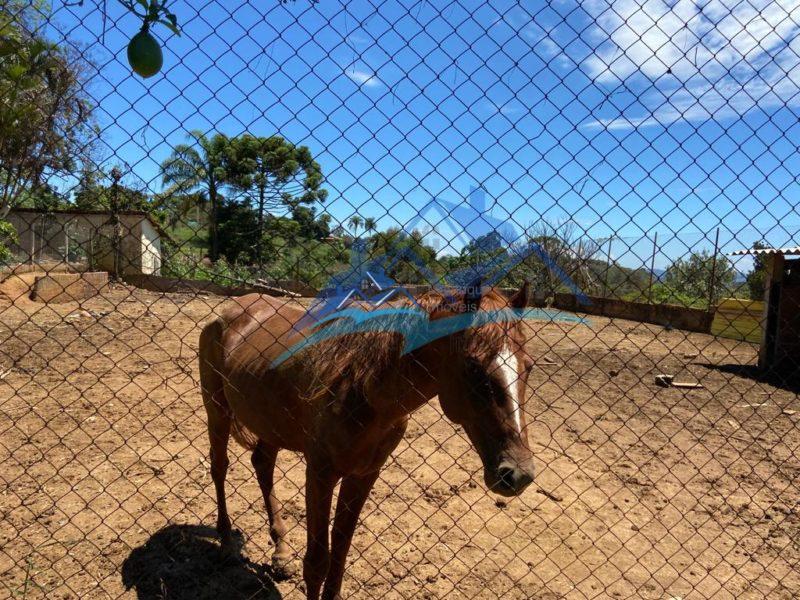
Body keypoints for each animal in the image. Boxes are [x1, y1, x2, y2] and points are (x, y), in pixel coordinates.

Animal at [200, 284, 536, 596]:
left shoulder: (363, 475)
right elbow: (317, 561)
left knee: (263, 465)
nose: (517, 474)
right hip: (217, 410)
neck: (361, 386)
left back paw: (281, 553)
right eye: (473, 366)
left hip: (270, 424)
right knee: (220, 467)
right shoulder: (320, 474)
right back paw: (227, 544)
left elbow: (340, 552)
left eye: (529, 366)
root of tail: (231, 310)